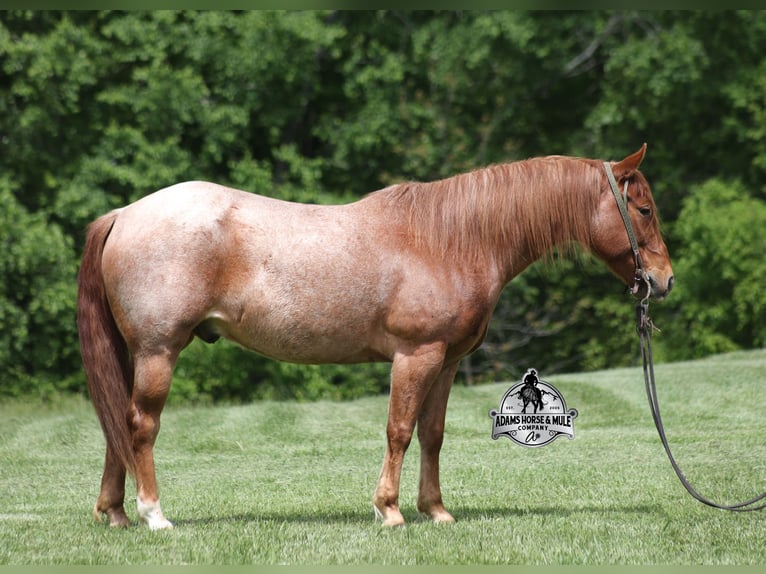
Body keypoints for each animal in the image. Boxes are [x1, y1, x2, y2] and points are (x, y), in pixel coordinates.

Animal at [77, 144, 673, 530]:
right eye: (643, 209)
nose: (663, 281)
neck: (449, 240)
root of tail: (124, 214)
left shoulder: (446, 361)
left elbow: (432, 434)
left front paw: (436, 511)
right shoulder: (415, 355)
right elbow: (399, 431)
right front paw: (389, 510)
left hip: (134, 354)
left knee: (116, 426)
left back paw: (115, 513)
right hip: (158, 352)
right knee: (141, 425)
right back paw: (154, 515)